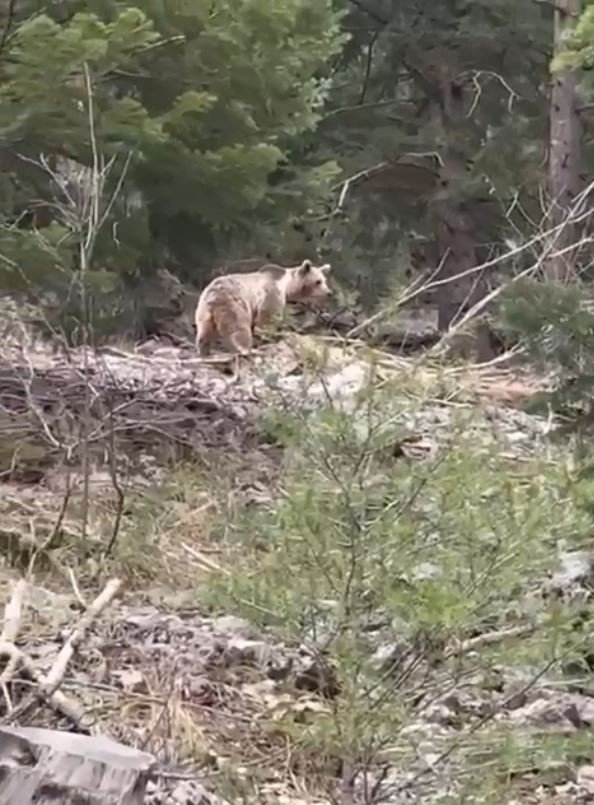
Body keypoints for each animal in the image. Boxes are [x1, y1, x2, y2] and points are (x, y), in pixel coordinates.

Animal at [197, 260, 330, 356]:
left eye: (325, 280)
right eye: (318, 281)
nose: (329, 292)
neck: (287, 285)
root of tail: (213, 296)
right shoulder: (272, 291)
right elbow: (267, 317)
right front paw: (265, 337)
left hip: (204, 310)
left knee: (204, 331)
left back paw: (204, 350)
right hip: (233, 304)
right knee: (238, 327)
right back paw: (246, 349)